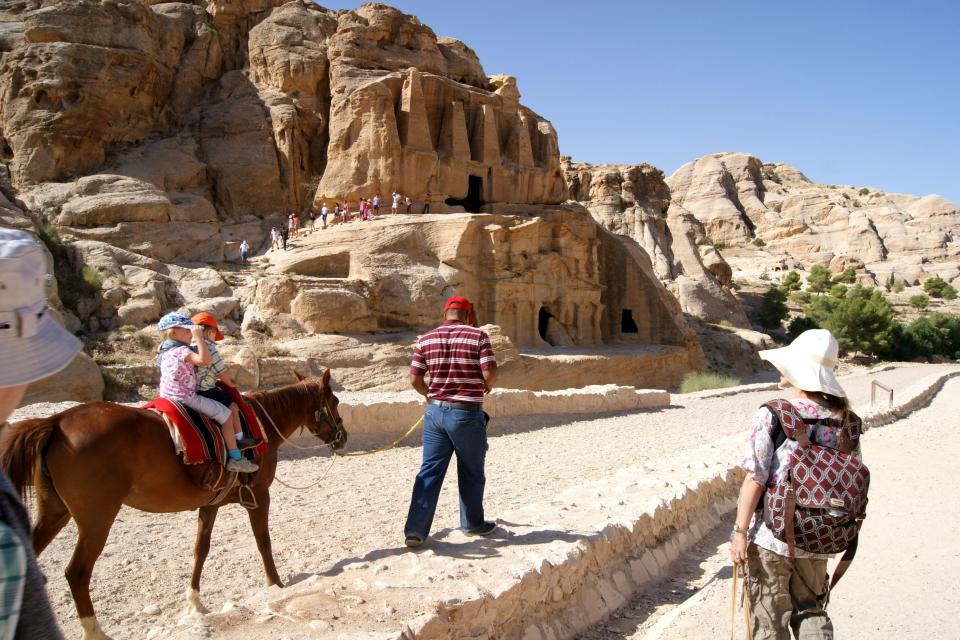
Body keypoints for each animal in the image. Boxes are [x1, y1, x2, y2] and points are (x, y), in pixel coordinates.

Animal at [0, 370, 344, 640]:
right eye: (336, 402)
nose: (342, 437)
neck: (259, 425)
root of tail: (56, 421)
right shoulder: (260, 496)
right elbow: (264, 542)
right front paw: (276, 585)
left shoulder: (211, 503)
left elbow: (200, 549)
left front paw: (195, 602)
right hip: (96, 520)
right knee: (77, 573)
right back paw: (95, 632)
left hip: (54, 513)